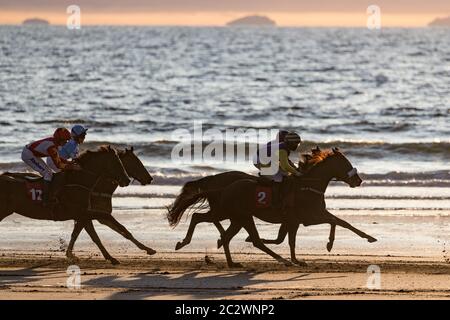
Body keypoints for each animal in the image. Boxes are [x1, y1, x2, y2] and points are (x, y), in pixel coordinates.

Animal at [0, 146, 133, 264]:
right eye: (117, 163)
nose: (127, 180)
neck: (78, 181)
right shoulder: (82, 214)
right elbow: (97, 233)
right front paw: (111, 258)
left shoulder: (82, 215)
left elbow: (86, 235)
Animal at [168, 148, 376, 268]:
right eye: (345, 163)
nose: (358, 180)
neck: (308, 186)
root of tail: (220, 186)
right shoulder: (309, 217)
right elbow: (338, 221)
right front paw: (333, 243)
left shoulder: (296, 220)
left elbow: (286, 238)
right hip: (231, 213)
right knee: (199, 218)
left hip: (237, 216)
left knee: (229, 235)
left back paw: (233, 261)